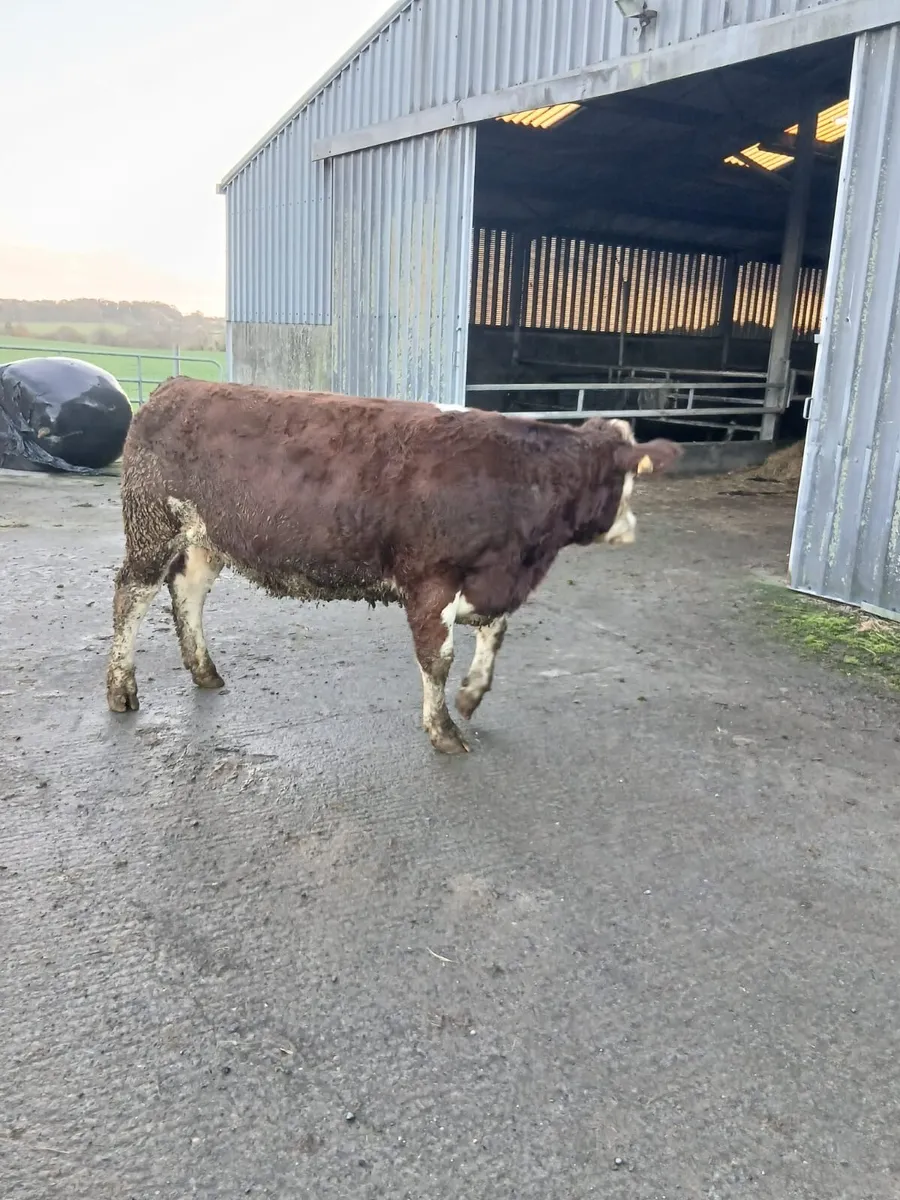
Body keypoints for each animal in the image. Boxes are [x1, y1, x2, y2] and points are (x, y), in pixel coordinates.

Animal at [106, 378, 681, 754]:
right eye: (628, 478)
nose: (632, 526)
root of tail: (176, 387)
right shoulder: (431, 581)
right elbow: (437, 659)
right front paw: (444, 731)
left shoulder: (494, 579)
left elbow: (494, 636)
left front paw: (471, 697)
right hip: (153, 526)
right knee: (130, 597)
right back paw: (121, 689)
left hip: (205, 540)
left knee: (188, 593)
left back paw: (205, 672)